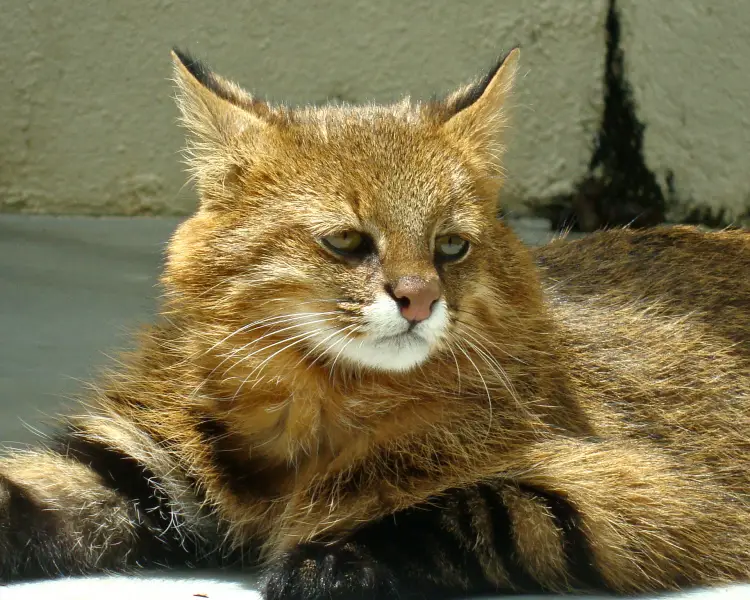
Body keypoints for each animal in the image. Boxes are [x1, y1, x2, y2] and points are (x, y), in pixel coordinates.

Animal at [1, 47, 750, 600]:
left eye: (451, 246)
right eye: (345, 241)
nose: (419, 299)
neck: (317, 408)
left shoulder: (649, 496)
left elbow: (468, 509)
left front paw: (326, 561)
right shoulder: (136, 463)